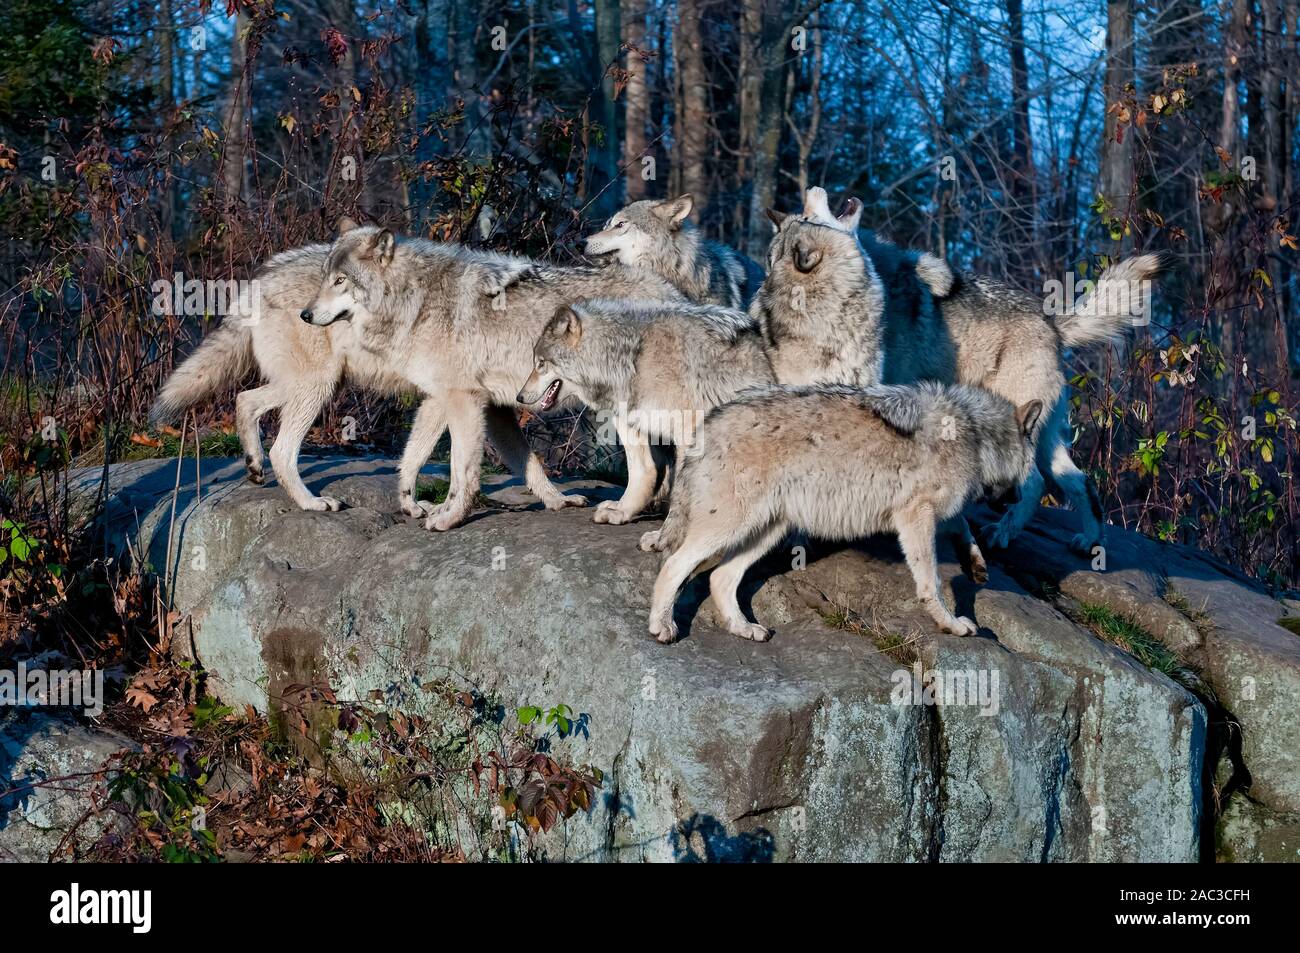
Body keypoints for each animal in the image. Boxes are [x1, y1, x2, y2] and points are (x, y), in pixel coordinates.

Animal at [514, 301, 769, 525]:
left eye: (541, 364)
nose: (519, 397)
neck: (631, 358)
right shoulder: (634, 421)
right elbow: (645, 473)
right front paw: (622, 511)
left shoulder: (686, 432)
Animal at [644, 382, 1040, 642]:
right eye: (1028, 470)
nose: (1015, 499)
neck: (974, 434)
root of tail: (709, 420)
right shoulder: (916, 515)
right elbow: (932, 582)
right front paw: (951, 623)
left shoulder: (926, 512)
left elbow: (962, 524)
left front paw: (975, 564)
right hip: (731, 527)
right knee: (674, 565)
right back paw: (663, 626)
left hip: (767, 530)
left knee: (719, 578)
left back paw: (742, 628)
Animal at [754, 187, 1170, 553]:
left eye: (807, 214)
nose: (813, 187)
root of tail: (1051, 321)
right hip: (1047, 440)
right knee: (1079, 481)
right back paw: (1089, 541)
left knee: (1035, 483)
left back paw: (1004, 532)